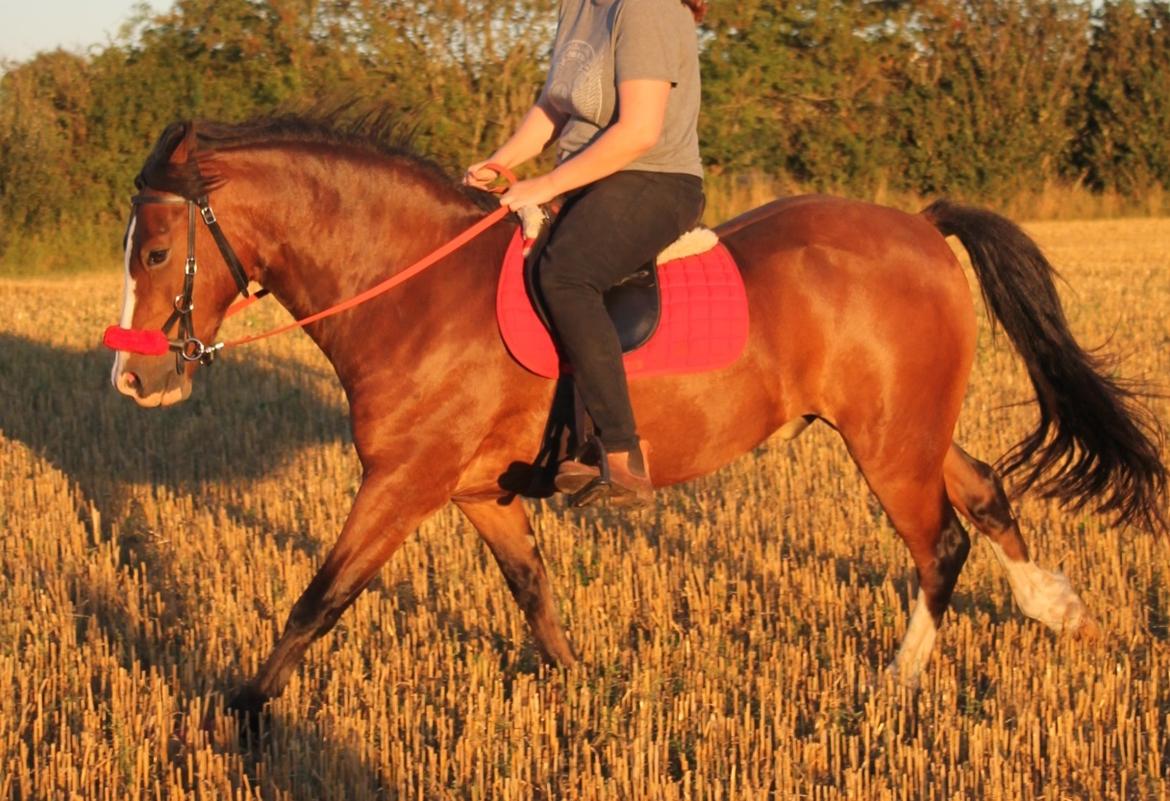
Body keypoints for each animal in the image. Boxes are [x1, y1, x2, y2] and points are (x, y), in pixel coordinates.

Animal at [105, 116, 1165, 710]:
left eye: (155, 252)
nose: (134, 385)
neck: (417, 290)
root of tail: (917, 224)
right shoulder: (479, 491)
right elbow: (534, 593)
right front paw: (581, 689)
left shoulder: (403, 483)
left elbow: (319, 598)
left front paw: (241, 714)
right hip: (906, 424)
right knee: (985, 493)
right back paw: (1060, 611)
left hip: (888, 441)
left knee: (938, 540)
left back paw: (898, 681)